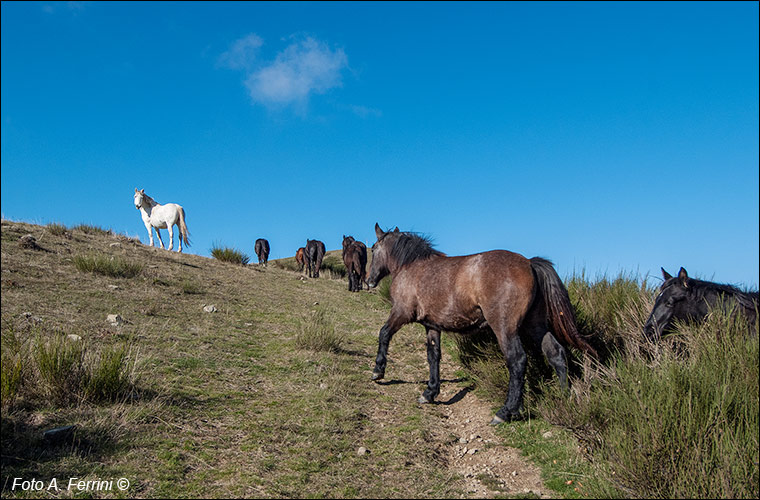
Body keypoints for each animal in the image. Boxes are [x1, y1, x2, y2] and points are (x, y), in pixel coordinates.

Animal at [368, 225, 600, 424]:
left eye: (373, 248)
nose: (369, 281)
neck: (412, 267)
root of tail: (529, 263)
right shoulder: (432, 326)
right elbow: (433, 356)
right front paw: (430, 392)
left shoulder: (401, 312)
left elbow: (384, 333)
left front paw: (378, 371)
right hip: (536, 326)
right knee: (556, 354)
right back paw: (563, 398)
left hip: (505, 328)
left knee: (517, 360)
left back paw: (505, 412)